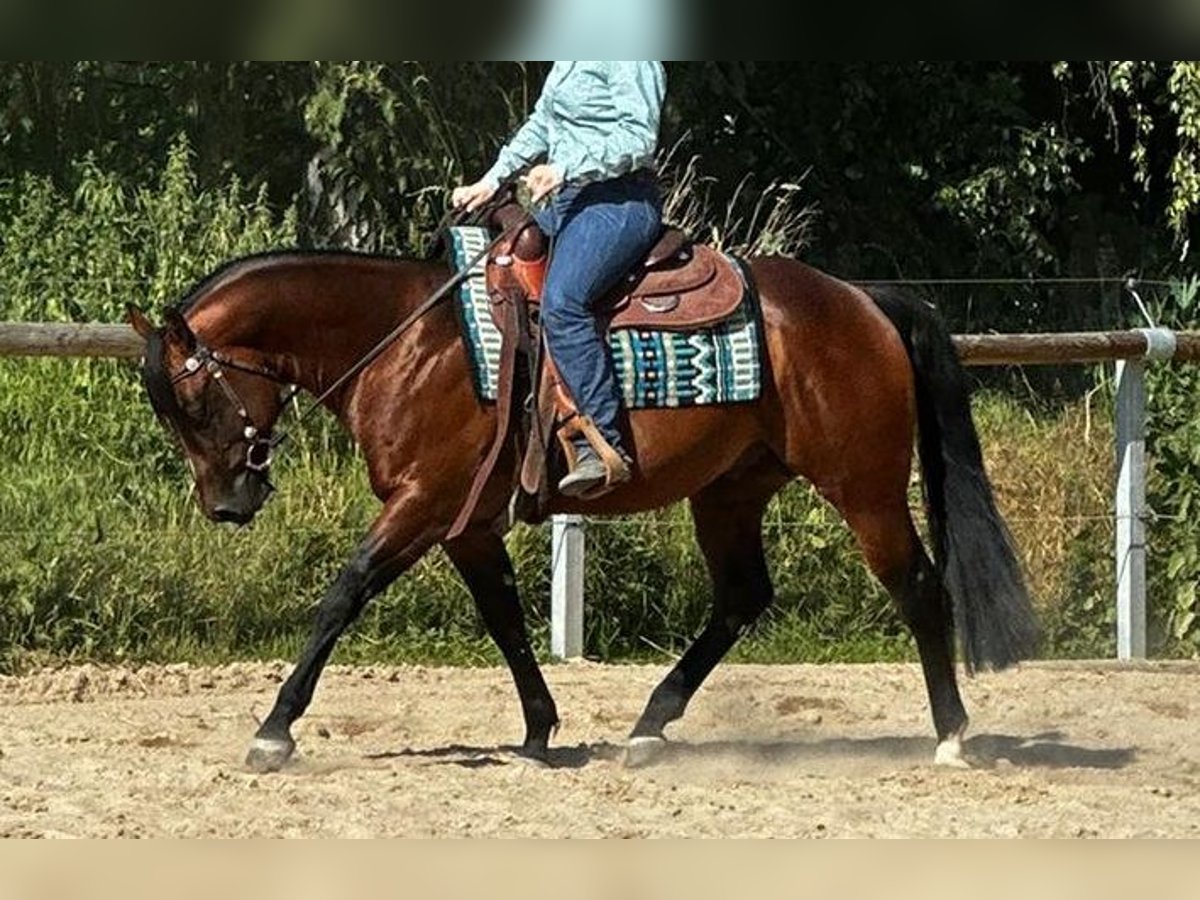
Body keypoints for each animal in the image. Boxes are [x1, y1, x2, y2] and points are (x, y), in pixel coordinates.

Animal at [126, 244, 1036, 777]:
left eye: (192, 403)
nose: (226, 503)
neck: (411, 343)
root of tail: (861, 298)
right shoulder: (466, 524)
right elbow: (504, 619)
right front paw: (538, 730)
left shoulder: (422, 505)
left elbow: (344, 594)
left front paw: (274, 728)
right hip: (731, 491)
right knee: (741, 598)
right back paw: (649, 726)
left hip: (865, 488)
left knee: (918, 588)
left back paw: (953, 736)